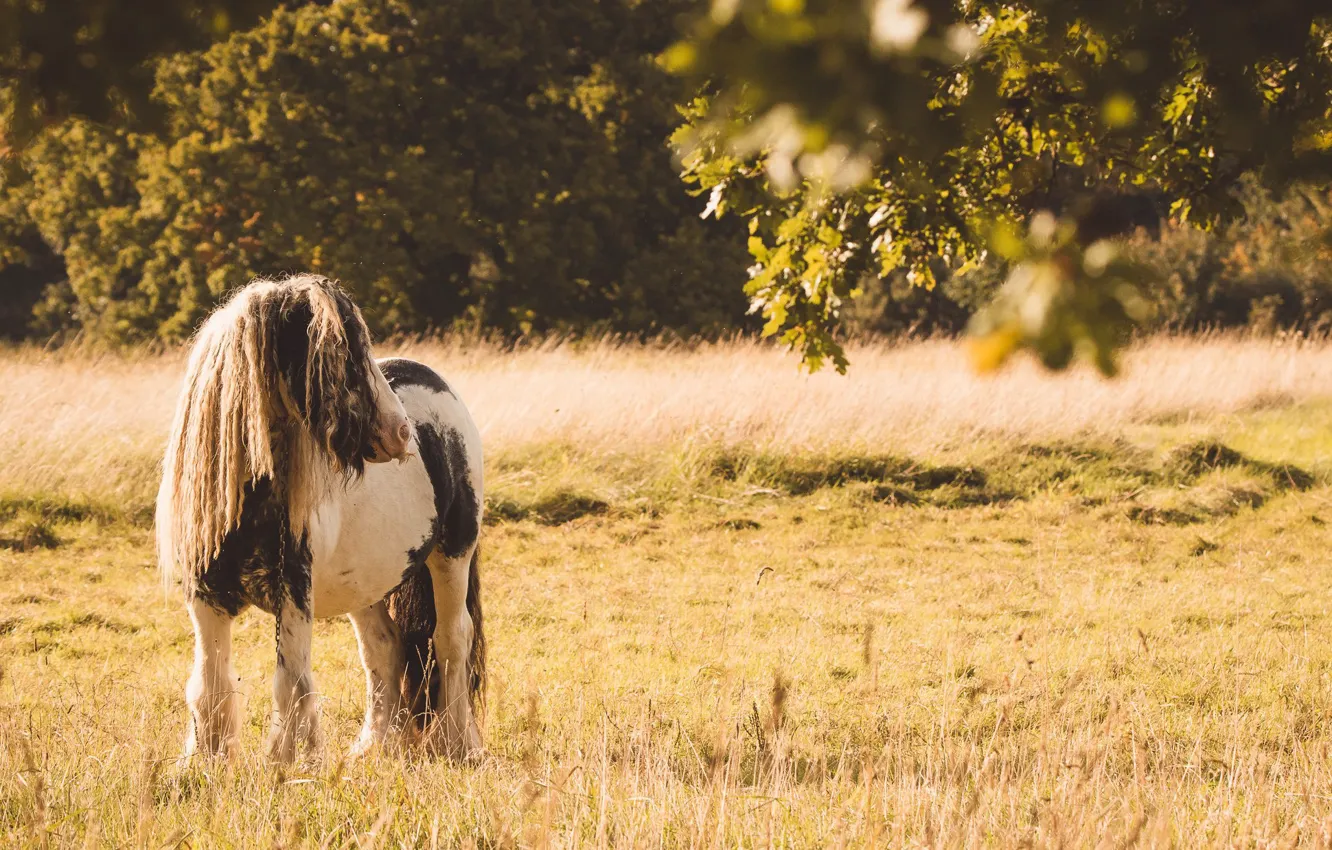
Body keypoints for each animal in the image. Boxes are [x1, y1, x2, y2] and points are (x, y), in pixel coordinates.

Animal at [156, 274, 485, 762]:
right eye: (341, 353)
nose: (401, 433)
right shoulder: (205, 600)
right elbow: (210, 683)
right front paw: (203, 761)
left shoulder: (293, 596)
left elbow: (289, 682)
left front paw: (286, 762)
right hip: (368, 581)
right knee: (385, 647)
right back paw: (371, 747)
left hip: (452, 555)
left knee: (451, 639)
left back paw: (458, 743)